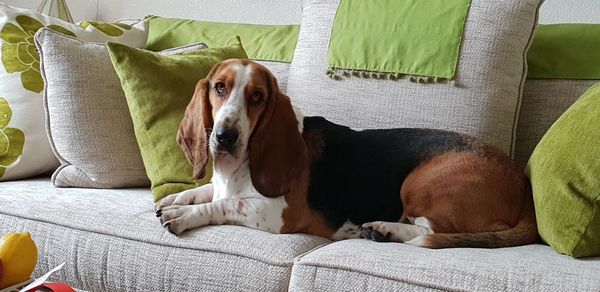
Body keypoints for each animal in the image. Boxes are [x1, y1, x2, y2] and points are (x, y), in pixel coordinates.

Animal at [155, 59, 540, 249]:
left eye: (258, 97)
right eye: (219, 88)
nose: (225, 136)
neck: (238, 166)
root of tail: (523, 186)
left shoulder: (276, 214)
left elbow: (224, 204)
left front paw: (182, 215)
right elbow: (208, 191)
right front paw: (175, 198)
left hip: (420, 184)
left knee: (431, 230)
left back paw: (384, 229)